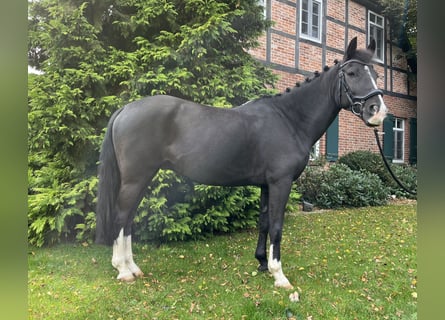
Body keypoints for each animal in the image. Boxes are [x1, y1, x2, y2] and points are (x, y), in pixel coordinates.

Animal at [96, 37, 386, 288]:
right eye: (352, 73)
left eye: (375, 73)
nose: (378, 111)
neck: (289, 119)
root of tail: (126, 109)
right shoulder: (280, 183)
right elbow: (277, 226)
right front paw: (279, 275)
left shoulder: (266, 185)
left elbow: (264, 222)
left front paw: (262, 264)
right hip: (136, 178)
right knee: (121, 216)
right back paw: (123, 270)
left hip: (143, 178)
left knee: (128, 218)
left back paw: (132, 267)